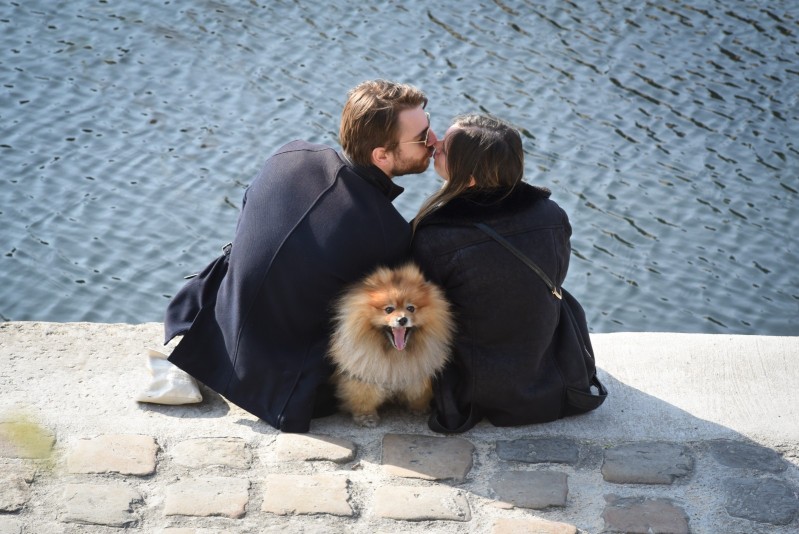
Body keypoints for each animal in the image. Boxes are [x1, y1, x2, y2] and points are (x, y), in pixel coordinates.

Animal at [330, 264, 456, 432]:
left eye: (411, 308)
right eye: (389, 309)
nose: (402, 319)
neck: (395, 353)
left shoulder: (417, 371)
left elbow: (419, 391)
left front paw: (419, 407)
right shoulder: (364, 373)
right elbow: (362, 397)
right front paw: (366, 416)